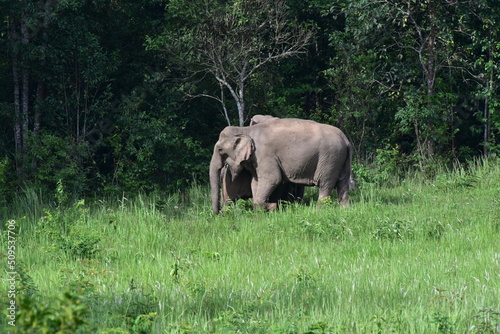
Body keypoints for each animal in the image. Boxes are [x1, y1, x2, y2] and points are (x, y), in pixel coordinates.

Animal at [209, 117, 354, 211]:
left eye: (220, 150)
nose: (218, 212)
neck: (245, 130)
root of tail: (346, 140)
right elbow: (256, 182)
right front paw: (261, 213)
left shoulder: (264, 155)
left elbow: (273, 178)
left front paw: (272, 206)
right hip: (341, 159)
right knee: (342, 183)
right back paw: (344, 210)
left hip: (329, 158)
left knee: (325, 184)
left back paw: (319, 211)